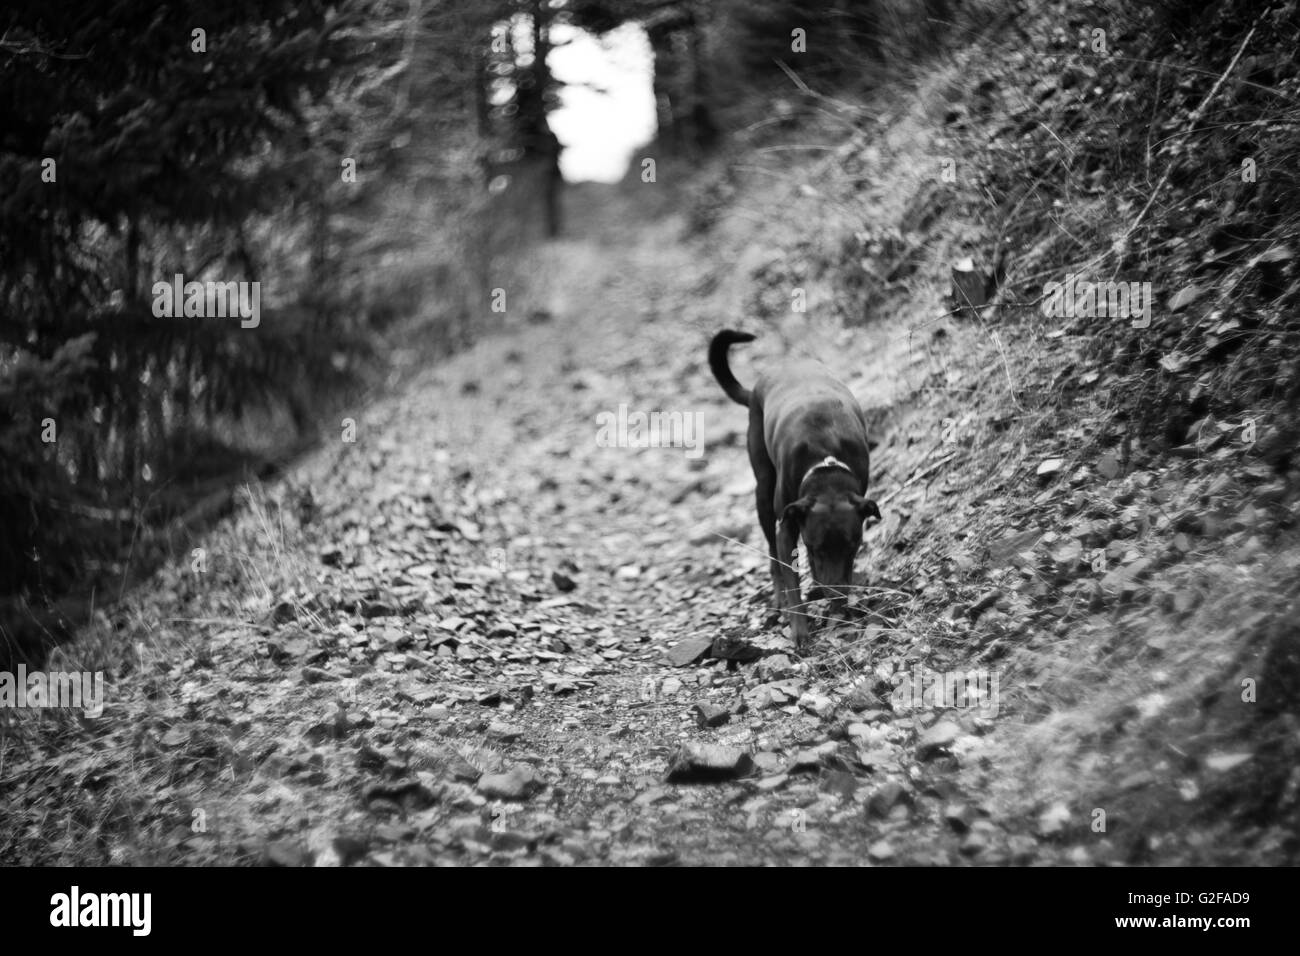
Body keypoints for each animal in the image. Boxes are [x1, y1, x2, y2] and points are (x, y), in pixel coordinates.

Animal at [712, 329, 883, 650]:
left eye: (852, 546)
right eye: (816, 547)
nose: (835, 595)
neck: (827, 462)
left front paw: (837, 607)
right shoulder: (787, 526)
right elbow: (791, 578)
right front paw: (800, 629)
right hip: (763, 493)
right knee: (772, 555)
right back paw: (779, 598)